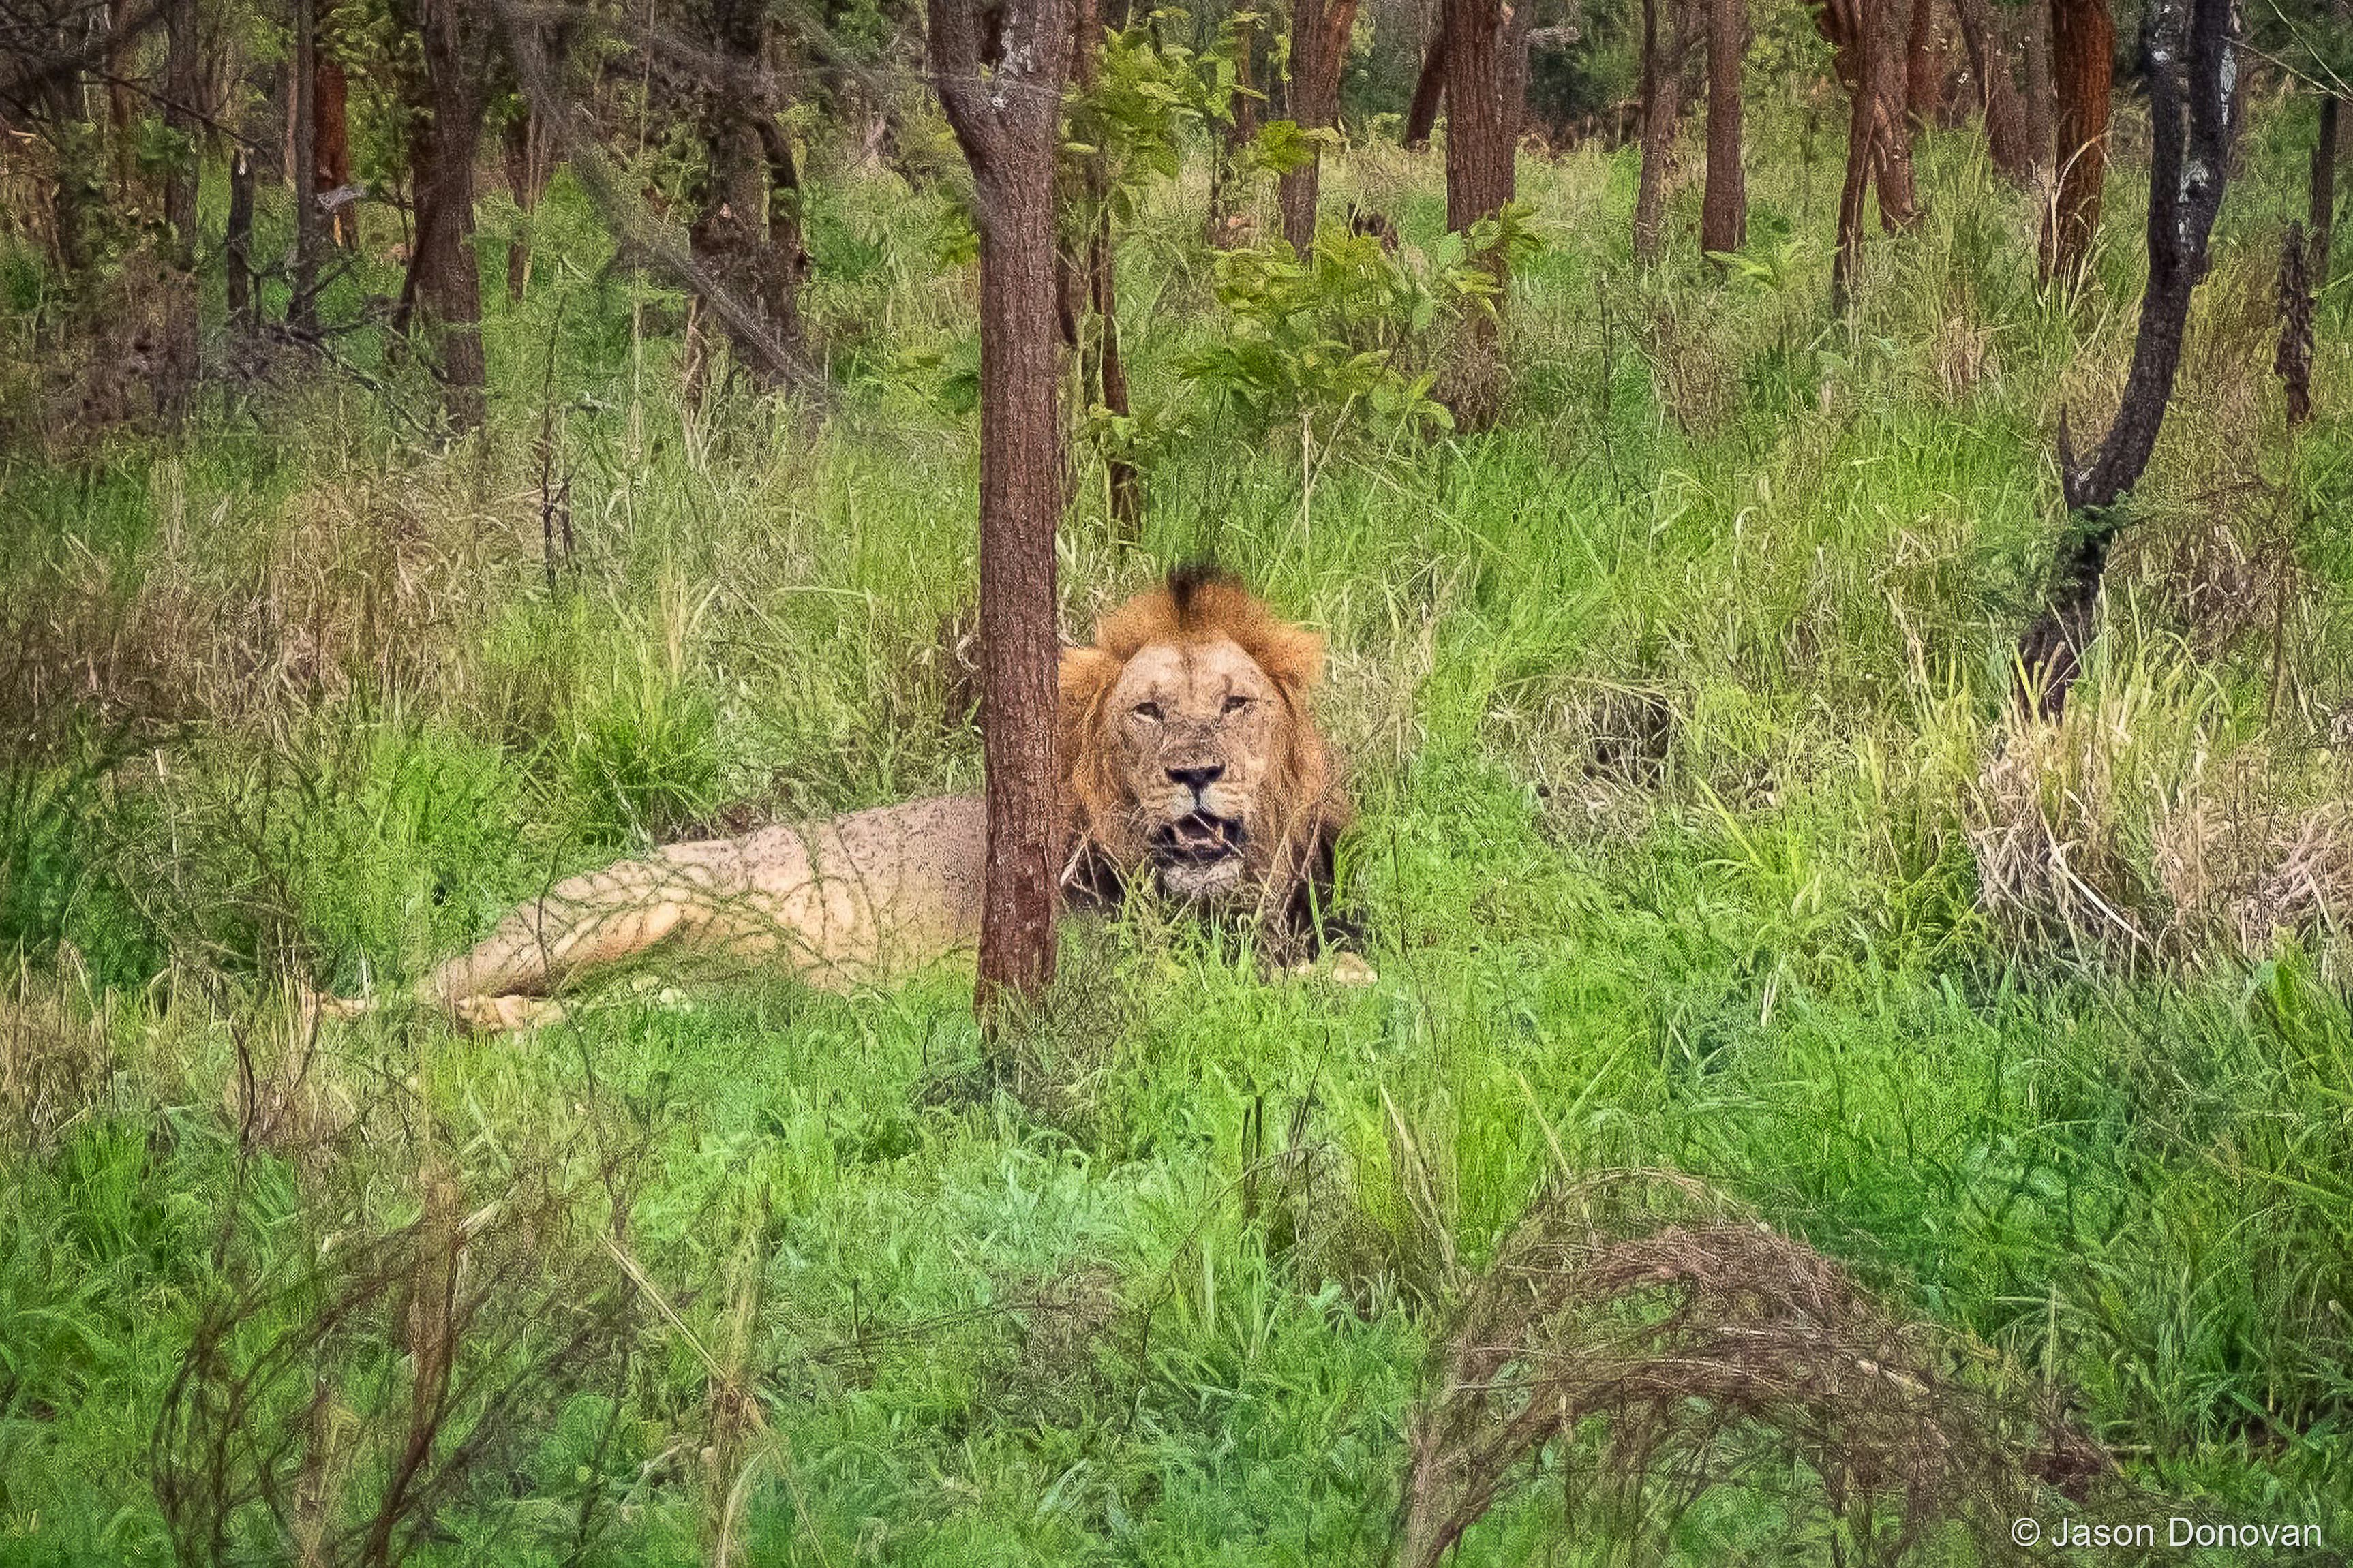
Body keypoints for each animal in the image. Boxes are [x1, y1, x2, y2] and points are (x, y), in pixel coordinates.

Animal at [326, 567, 1357, 1031]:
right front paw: (1335, 987)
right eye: (1147, 711)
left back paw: (496, 1025)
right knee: (382, 998)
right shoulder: (1083, 980)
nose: (1195, 772)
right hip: (606, 918)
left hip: (680, 1000)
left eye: (1234, 703)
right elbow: (1276, 986)